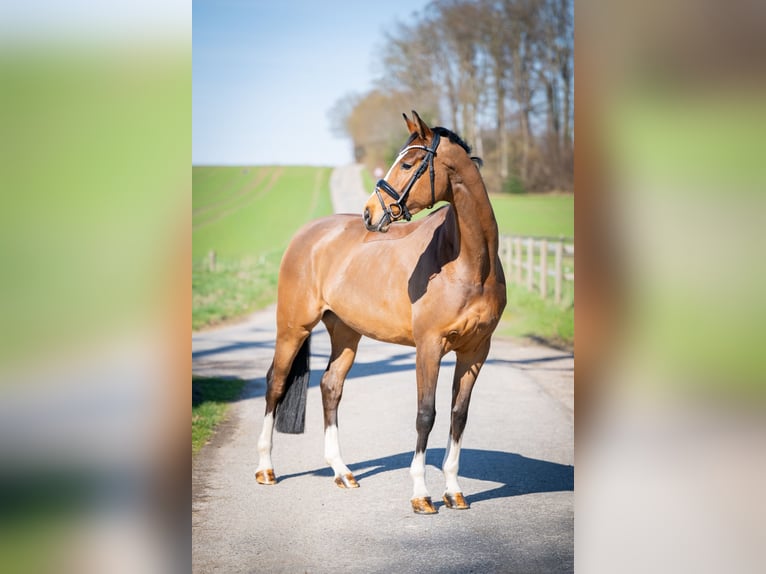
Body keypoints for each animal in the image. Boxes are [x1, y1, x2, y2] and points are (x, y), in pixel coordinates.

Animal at [255, 111, 507, 514]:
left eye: (407, 163)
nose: (369, 213)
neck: (469, 263)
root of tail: (307, 235)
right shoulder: (429, 347)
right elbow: (425, 414)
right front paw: (421, 494)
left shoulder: (475, 351)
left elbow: (458, 415)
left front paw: (454, 491)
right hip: (293, 327)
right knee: (275, 384)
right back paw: (266, 468)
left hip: (345, 333)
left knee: (331, 386)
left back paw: (342, 472)